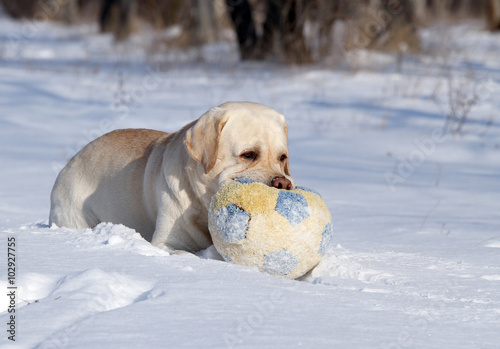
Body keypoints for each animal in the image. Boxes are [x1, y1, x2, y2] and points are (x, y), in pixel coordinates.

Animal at [49, 100, 292, 250]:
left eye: (282, 158)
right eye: (248, 154)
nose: (283, 183)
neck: (202, 203)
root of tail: (71, 161)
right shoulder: (167, 243)